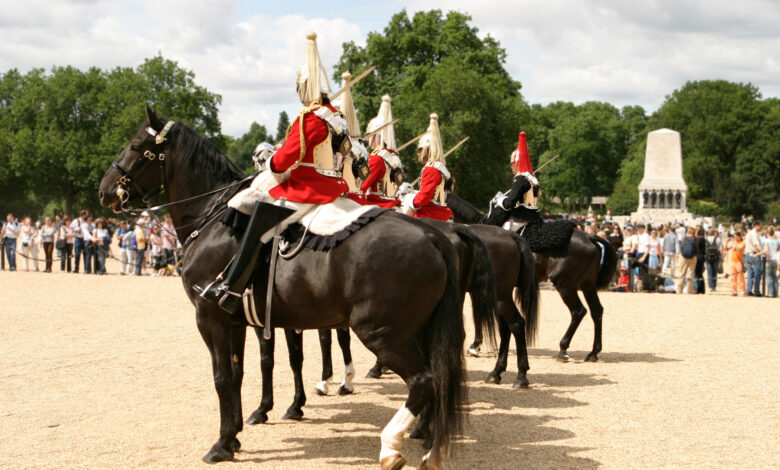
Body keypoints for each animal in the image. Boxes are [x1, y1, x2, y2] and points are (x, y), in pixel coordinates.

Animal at [97, 108, 490, 468]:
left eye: (137, 146)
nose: (104, 190)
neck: (214, 219)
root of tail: (432, 236)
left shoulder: (210, 318)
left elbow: (224, 376)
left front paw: (222, 444)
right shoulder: (236, 320)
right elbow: (240, 373)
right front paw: (238, 432)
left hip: (381, 332)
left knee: (423, 379)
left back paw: (392, 446)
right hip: (418, 329)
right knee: (438, 377)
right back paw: (429, 442)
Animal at [444, 193, 616, 362]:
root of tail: (589, 237)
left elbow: (478, 315)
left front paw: (475, 345)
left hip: (565, 285)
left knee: (578, 311)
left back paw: (563, 348)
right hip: (587, 285)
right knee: (597, 311)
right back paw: (593, 352)